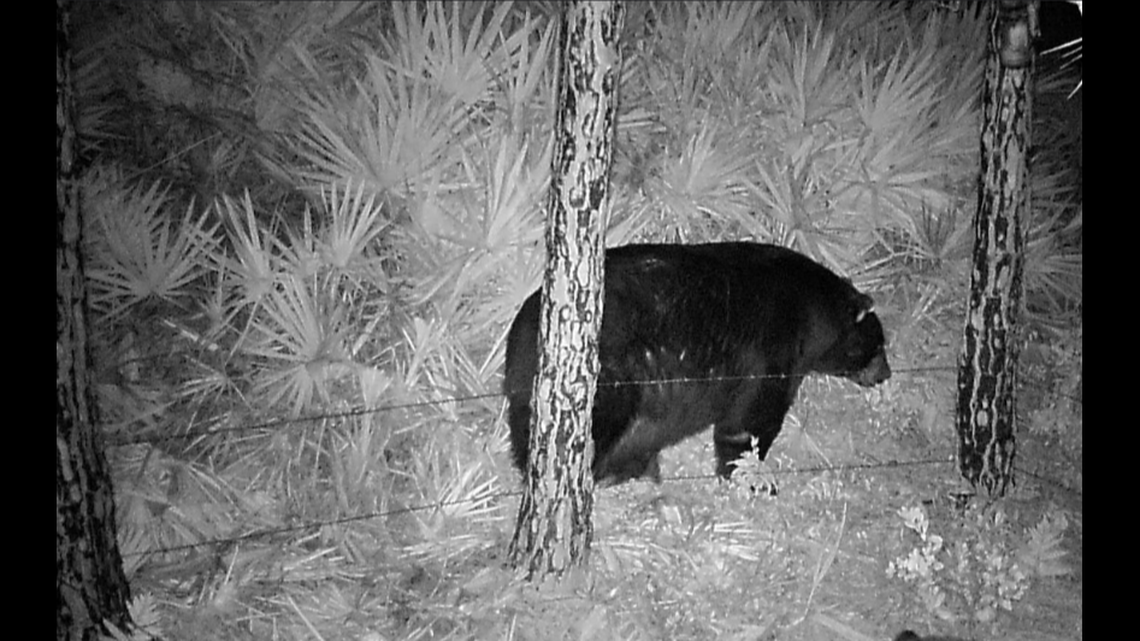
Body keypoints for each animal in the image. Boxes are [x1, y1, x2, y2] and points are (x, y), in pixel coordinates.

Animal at [503, 241, 891, 485]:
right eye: (879, 345)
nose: (886, 374)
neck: (813, 311)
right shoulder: (773, 347)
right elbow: (751, 417)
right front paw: (748, 472)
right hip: (612, 376)